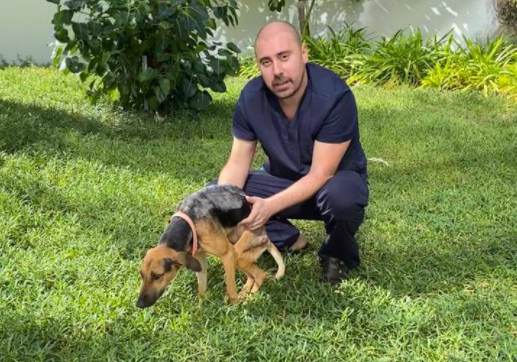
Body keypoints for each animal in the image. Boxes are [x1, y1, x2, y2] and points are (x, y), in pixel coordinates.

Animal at [135, 185, 284, 306]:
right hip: (239, 258)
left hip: (238, 253)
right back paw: (244, 293)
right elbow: (201, 289)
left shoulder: (227, 255)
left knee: (260, 274)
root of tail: (267, 237)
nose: (139, 304)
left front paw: (234, 308)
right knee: (252, 276)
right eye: (141, 274)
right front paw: (201, 311)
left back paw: (248, 299)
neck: (188, 221)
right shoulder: (199, 260)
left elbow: (230, 289)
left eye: (157, 276)